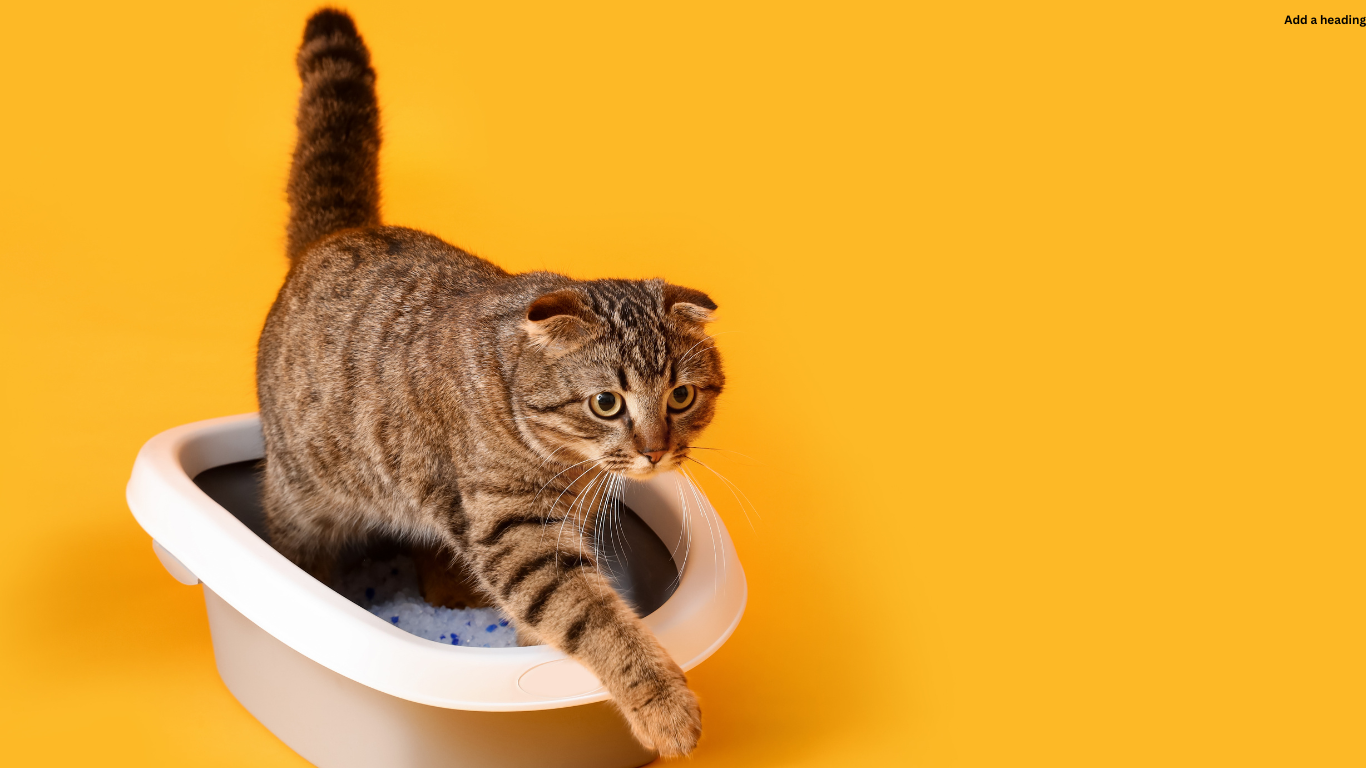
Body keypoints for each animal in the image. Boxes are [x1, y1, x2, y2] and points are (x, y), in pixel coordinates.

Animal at [256, 8, 726, 754]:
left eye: (681, 396)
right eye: (607, 402)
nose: (655, 451)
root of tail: (336, 234)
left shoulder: (561, 518)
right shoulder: (519, 536)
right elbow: (596, 619)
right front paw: (662, 703)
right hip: (304, 498)